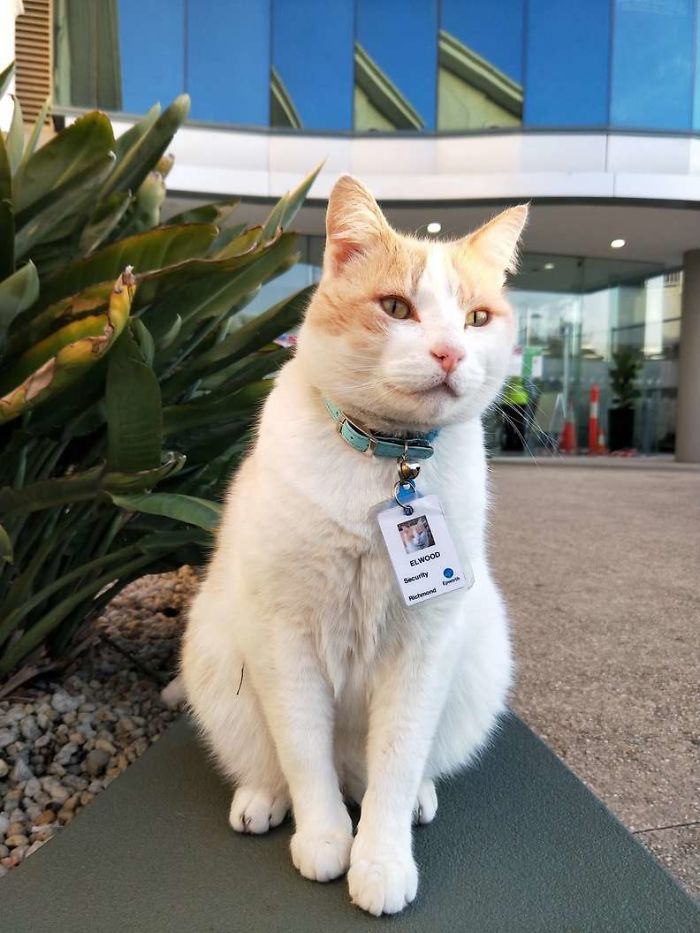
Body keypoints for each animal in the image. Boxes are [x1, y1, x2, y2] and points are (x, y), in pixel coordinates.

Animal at [183, 177, 528, 916]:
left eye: (477, 319)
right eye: (396, 307)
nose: (451, 353)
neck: (387, 462)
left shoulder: (425, 646)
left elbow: (395, 763)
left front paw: (380, 857)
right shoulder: (284, 639)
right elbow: (303, 753)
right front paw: (323, 839)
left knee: (389, 773)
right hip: (222, 666)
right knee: (276, 762)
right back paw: (263, 800)